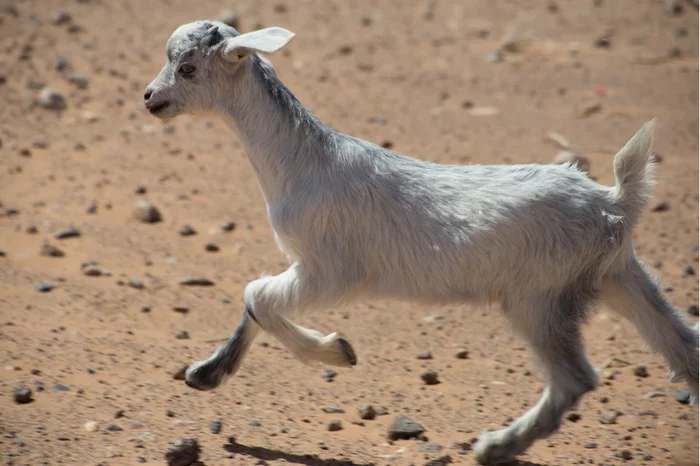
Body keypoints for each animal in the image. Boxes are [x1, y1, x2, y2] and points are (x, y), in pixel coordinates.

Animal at [145, 22, 696, 466]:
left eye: (188, 68)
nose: (149, 98)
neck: (303, 160)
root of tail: (614, 201)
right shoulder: (310, 269)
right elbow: (256, 301)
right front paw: (207, 373)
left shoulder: (332, 270)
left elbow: (256, 295)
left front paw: (336, 352)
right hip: (619, 275)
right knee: (683, 347)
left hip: (539, 298)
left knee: (574, 378)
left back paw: (497, 447)